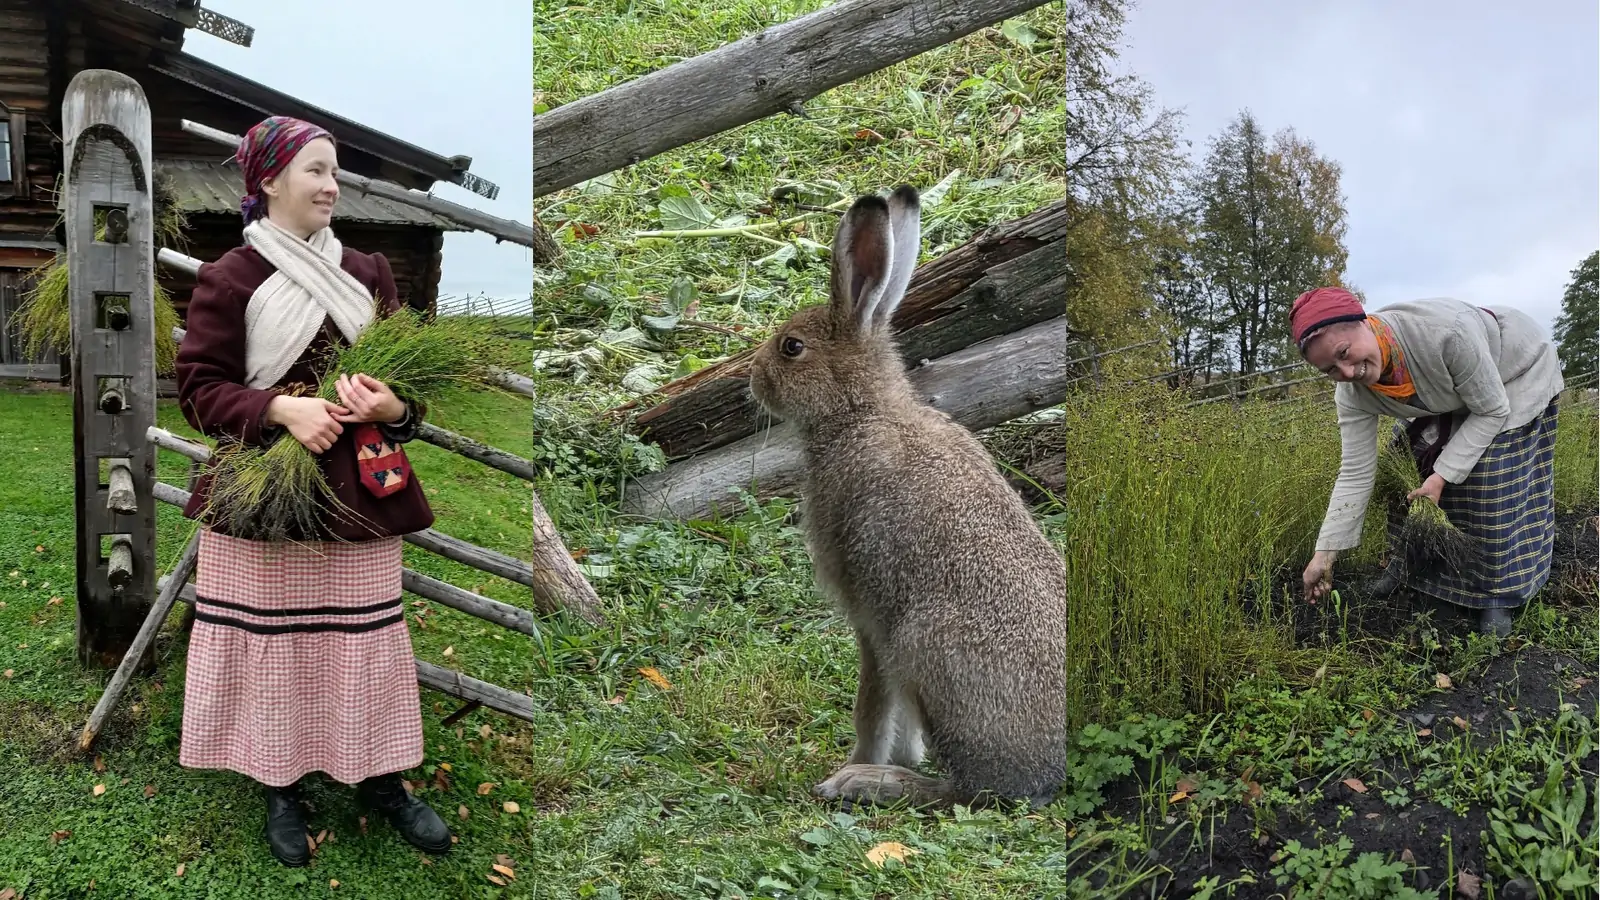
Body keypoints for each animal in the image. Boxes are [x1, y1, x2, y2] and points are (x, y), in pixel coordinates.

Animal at [748, 184, 1067, 809]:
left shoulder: (869, 617)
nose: (753, 380)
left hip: (924, 647)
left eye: (792, 347)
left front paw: (859, 762)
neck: (861, 411)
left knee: (968, 791)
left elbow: (872, 702)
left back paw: (869, 782)